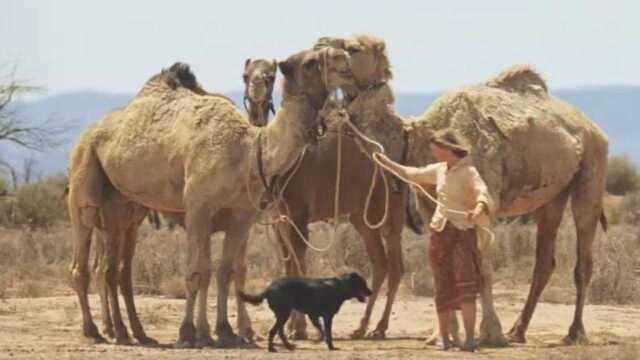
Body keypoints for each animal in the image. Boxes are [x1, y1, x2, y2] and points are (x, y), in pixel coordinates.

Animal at [67, 46, 358, 348]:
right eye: (311, 62)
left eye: (270, 75)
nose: (346, 63)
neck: (249, 151)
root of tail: (86, 134)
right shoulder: (198, 208)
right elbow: (197, 271)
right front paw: (190, 332)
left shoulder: (241, 215)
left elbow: (225, 271)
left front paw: (225, 331)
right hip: (83, 183)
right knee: (82, 265)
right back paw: (95, 330)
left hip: (122, 209)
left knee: (114, 270)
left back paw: (129, 332)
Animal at [239, 272, 370, 350]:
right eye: (363, 283)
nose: (371, 292)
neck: (341, 286)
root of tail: (269, 287)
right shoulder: (327, 316)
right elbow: (327, 332)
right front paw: (331, 346)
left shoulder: (313, 315)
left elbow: (321, 330)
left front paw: (321, 341)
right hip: (284, 314)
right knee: (272, 331)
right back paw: (272, 349)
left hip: (282, 315)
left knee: (279, 332)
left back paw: (289, 346)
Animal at [402, 65, 608, 346]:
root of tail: (595, 129)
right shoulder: (428, 202)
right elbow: (440, 264)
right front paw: (440, 335)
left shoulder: (485, 197)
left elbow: (483, 267)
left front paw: (490, 333)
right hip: (554, 193)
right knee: (545, 260)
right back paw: (518, 330)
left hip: (592, 172)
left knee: (583, 257)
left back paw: (574, 332)